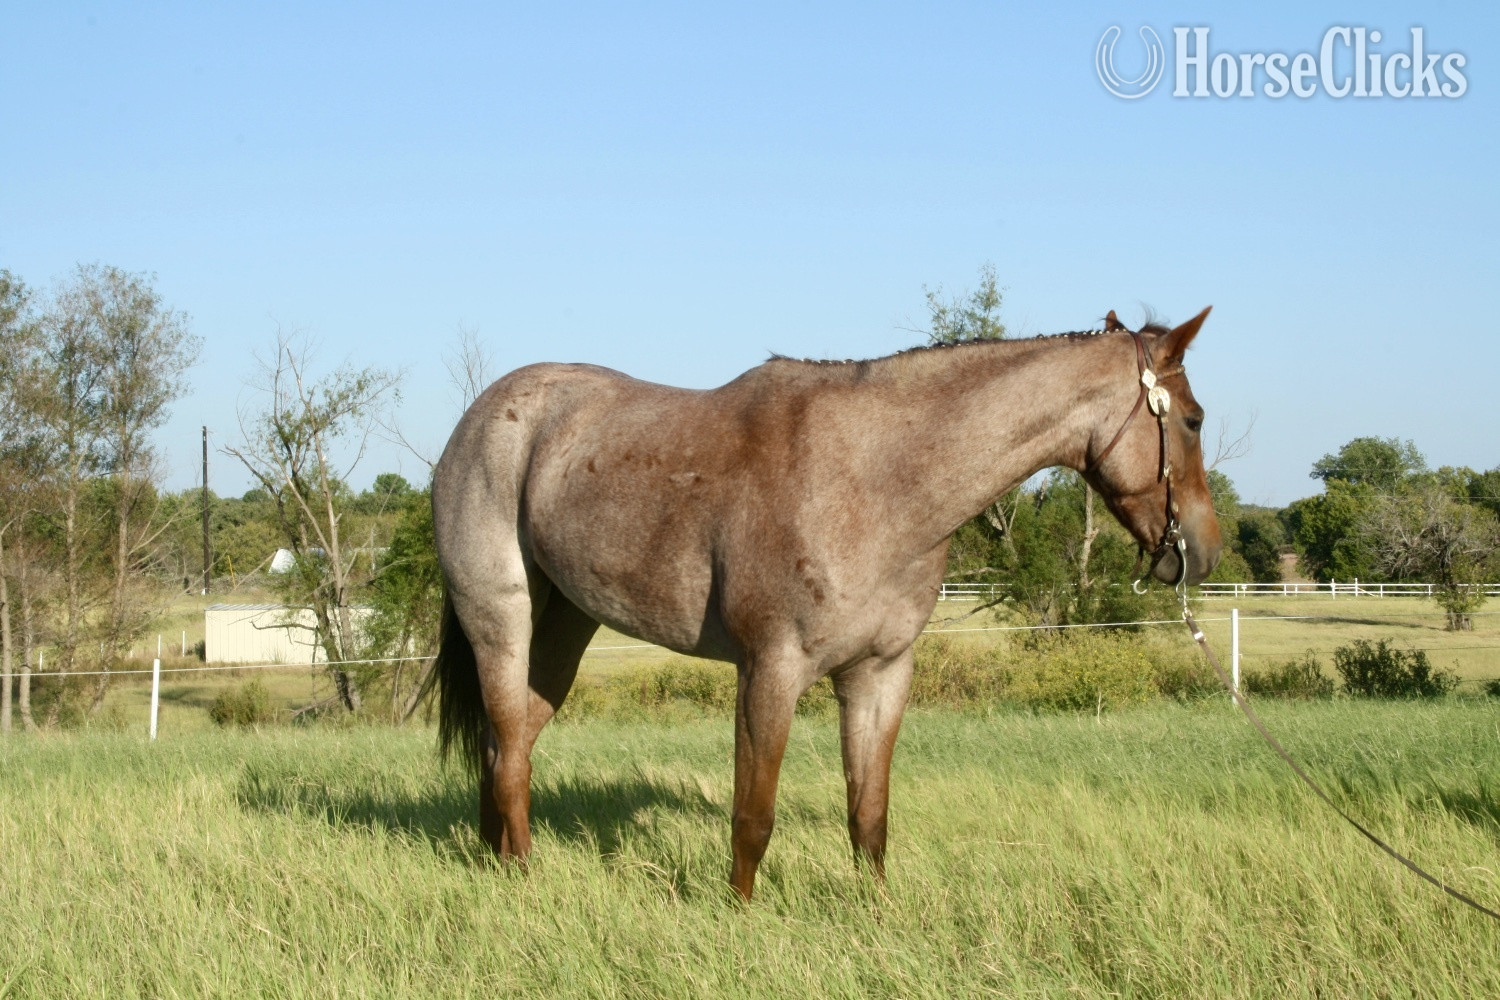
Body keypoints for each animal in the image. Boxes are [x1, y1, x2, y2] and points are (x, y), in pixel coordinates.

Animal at [429, 307, 1222, 900]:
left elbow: (868, 816)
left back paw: (499, 867)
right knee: (510, 753)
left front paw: (875, 918)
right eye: (1192, 419)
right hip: (502, 621)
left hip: (563, 628)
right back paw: (524, 881)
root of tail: (479, 417)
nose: (1203, 552)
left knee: (506, 747)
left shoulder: (879, 674)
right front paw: (739, 919)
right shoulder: (769, 671)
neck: (872, 478)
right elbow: (753, 817)